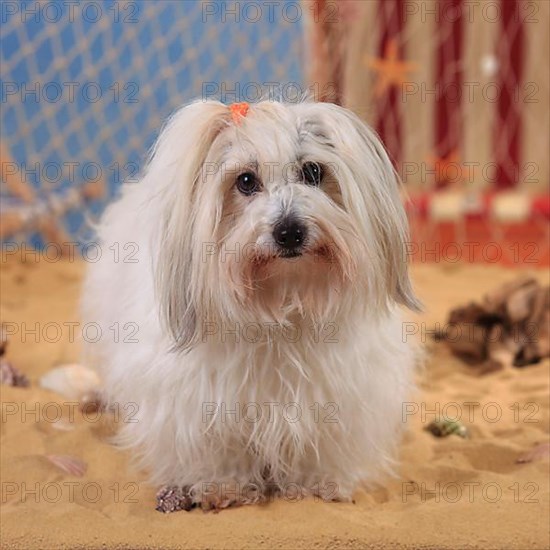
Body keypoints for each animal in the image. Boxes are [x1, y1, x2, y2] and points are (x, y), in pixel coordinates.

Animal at [82, 99, 420, 512]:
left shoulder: (335, 393)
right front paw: (223, 485)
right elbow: (218, 447)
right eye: (245, 181)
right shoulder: (199, 401)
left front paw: (315, 483)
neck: (281, 304)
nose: (289, 231)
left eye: (312, 171)